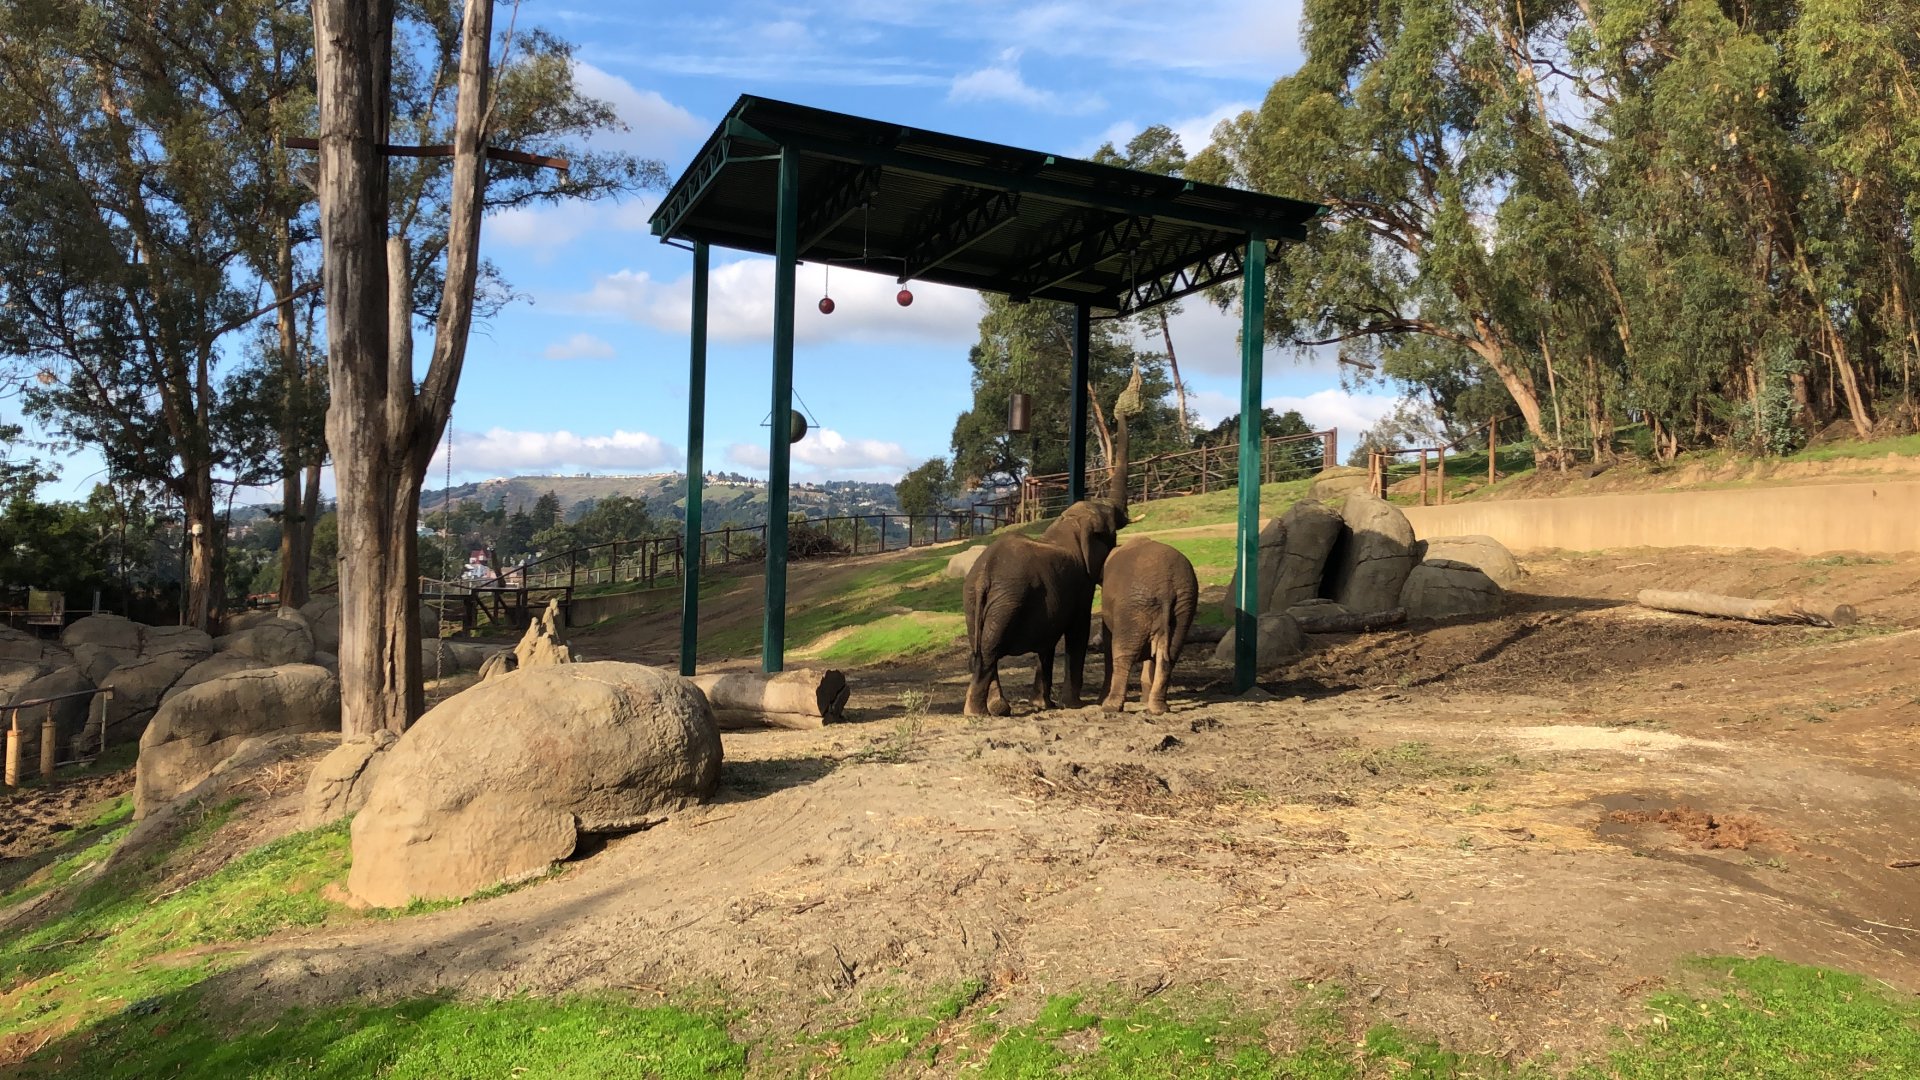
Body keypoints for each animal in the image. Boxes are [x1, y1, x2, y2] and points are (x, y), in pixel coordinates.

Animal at [961, 499, 1126, 716]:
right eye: (1112, 530)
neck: (1070, 523)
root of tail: (984, 574)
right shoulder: (1081, 584)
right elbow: (1078, 631)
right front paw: (1073, 705)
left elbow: (1047, 642)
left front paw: (1043, 705)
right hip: (1007, 602)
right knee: (989, 650)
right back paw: (978, 712)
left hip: (973, 601)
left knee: (981, 647)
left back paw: (997, 708)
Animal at [1097, 538, 1198, 714]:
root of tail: (1166, 588)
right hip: (1184, 606)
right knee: (1169, 655)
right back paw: (1158, 709)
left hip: (1133, 608)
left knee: (1123, 655)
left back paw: (1110, 707)